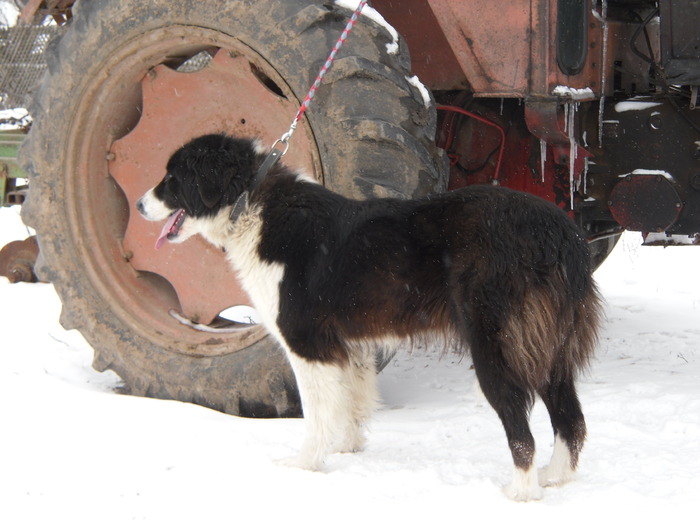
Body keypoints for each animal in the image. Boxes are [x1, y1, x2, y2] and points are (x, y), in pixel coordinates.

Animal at [137, 132, 600, 500]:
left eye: (173, 179)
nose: (140, 204)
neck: (250, 201)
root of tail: (561, 233)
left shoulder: (308, 345)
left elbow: (317, 413)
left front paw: (306, 465)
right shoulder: (350, 346)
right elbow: (351, 403)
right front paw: (348, 448)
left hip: (497, 349)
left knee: (522, 430)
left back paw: (522, 493)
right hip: (549, 348)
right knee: (572, 421)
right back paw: (555, 479)